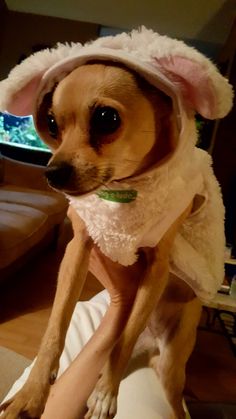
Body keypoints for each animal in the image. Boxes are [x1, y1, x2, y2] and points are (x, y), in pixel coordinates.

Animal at [0, 27, 232, 419]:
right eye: (52, 123)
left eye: (107, 118)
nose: (51, 173)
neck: (122, 193)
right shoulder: (78, 250)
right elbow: (55, 328)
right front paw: (31, 394)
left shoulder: (156, 269)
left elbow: (123, 339)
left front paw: (106, 392)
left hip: (172, 366)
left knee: (176, 402)